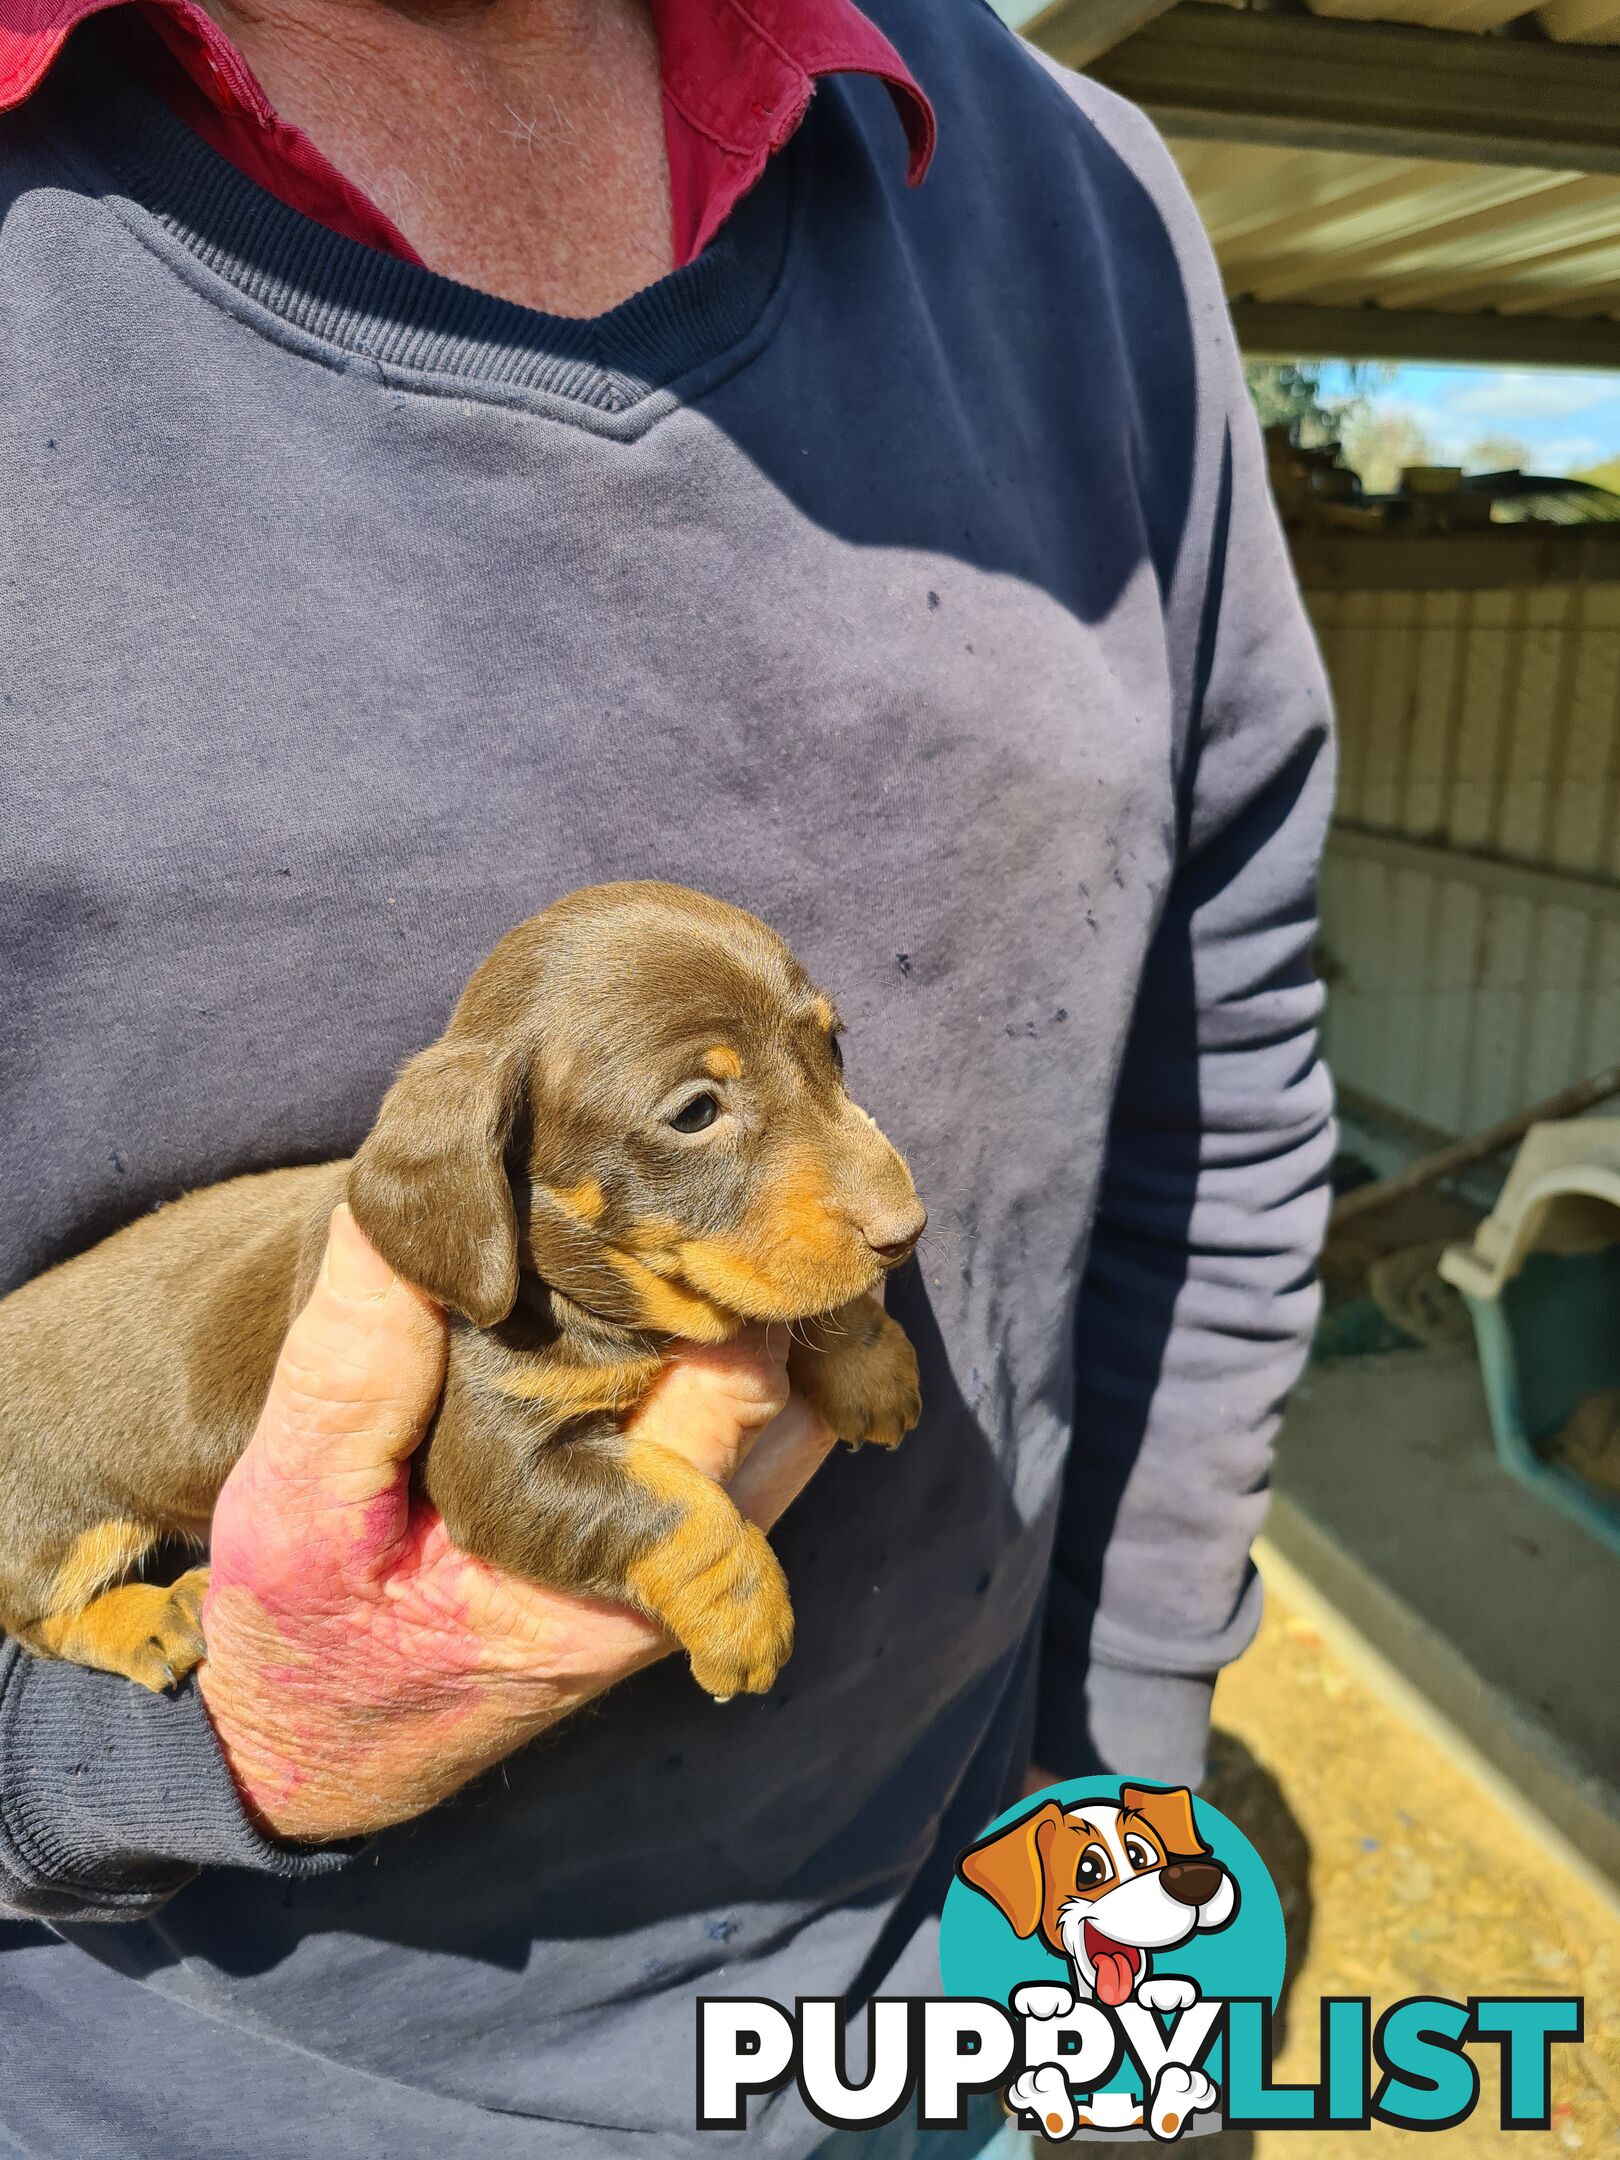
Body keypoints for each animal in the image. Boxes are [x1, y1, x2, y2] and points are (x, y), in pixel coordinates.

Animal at [3, 876, 924, 1702]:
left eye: (834, 1049)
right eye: (696, 1112)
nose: (908, 1230)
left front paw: (867, 1359)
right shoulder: (499, 1462)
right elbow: (673, 1507)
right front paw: (744, 1613)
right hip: (62, 1520)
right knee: (38, 1614)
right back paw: (149, 1619)